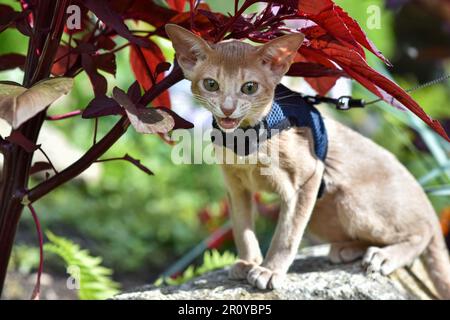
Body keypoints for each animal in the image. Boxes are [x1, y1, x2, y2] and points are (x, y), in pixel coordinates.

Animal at [165, 23, 450, 298]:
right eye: (211, 84)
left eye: (249, 87)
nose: (227, 108)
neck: (246, 139)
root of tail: (424, 199)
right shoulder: (236, 187)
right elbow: (241, 229)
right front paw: (248, 261)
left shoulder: (306, 181)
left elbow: (287, 235)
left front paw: (270, 270)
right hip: (322, 214)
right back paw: (348, 249)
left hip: (352, 203)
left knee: (421, 232)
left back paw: (384, 256)